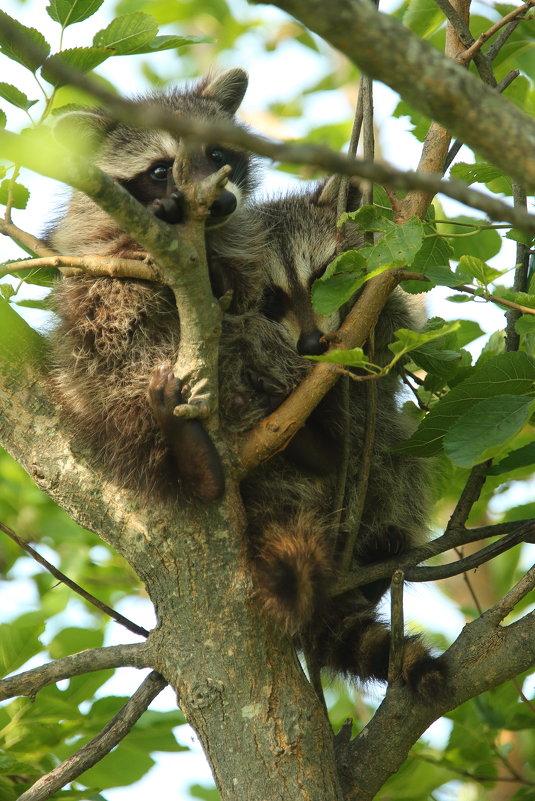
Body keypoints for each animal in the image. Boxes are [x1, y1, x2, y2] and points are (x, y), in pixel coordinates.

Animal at [48, 72, 266, 504]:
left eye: (217, 154)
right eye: (162, 171)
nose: (222, 203)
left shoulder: (239, 240)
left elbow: (249, 290)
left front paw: (224, 277)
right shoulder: (86, 233)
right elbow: (102, 266)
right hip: (92, 373)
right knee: (103, 330)